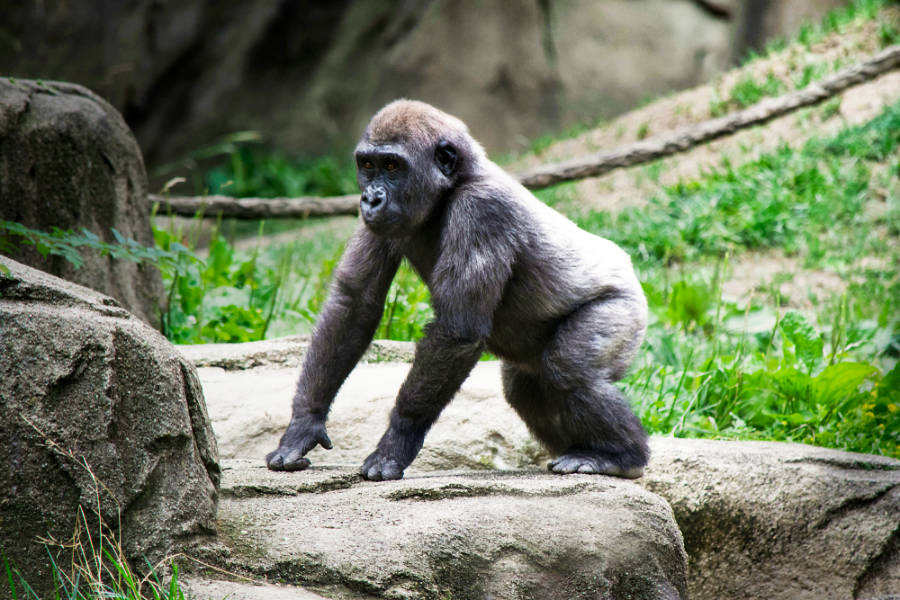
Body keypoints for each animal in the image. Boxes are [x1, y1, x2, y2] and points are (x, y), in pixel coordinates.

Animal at [266, 100, 649, 481]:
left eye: (392, 165)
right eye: (368, 165)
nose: (370, 199)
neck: (454, 183)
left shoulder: (481, 209)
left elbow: (456, 330)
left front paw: (397, 441)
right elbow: (353, 303)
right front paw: (304, 424)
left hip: (625, 309)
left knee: (569, 370)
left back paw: (620, 456)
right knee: (525, 388)